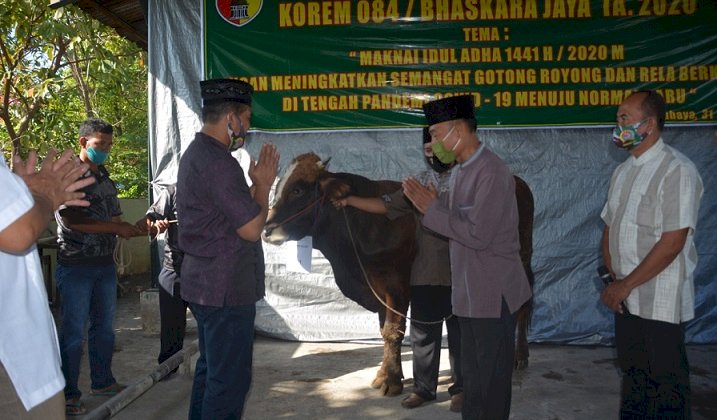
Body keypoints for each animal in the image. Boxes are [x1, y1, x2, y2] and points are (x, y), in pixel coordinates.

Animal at [262, 153, 532, 396]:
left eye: (298, 189)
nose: (267, 229)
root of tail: (516, 179)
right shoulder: (378, 288)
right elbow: (384, 330)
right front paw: (384, 373)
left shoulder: (397, 285)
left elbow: (393, 331)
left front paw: (391, 381)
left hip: (522, 259)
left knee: (523, 304)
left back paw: (519, 356)